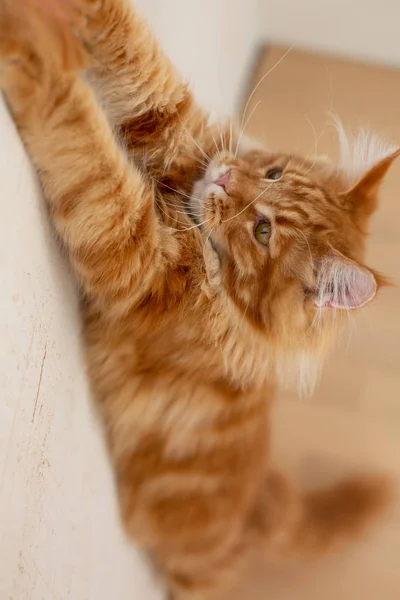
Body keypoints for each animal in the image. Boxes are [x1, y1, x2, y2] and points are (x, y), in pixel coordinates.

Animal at [1, 1, 398, 600]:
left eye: (263, 231)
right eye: (273, 172)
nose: (225, 177)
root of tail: (261, 507)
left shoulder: (133, 252)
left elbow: (77, 131)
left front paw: (29, 49)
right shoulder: (175, 125)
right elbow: (128, 44)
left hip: (194, 576)